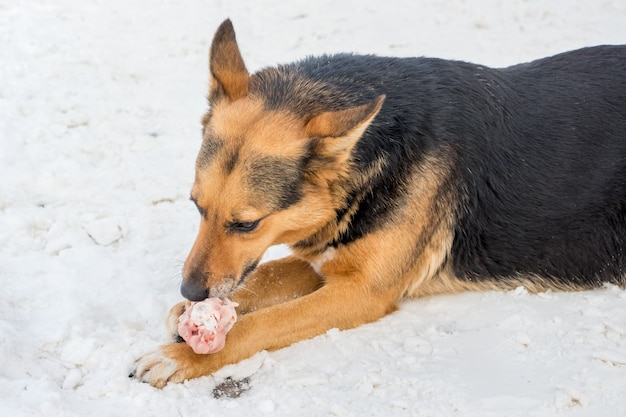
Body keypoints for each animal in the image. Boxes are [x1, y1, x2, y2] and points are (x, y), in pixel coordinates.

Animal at [130, 17, 624, 386]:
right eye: (196, 206)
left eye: (247, 224)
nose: (190, 292)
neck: (370, 161)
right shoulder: (330, 260)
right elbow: (265, 275)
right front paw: (188, 316)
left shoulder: (361, 292)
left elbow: (262, 323)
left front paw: (181, 357)